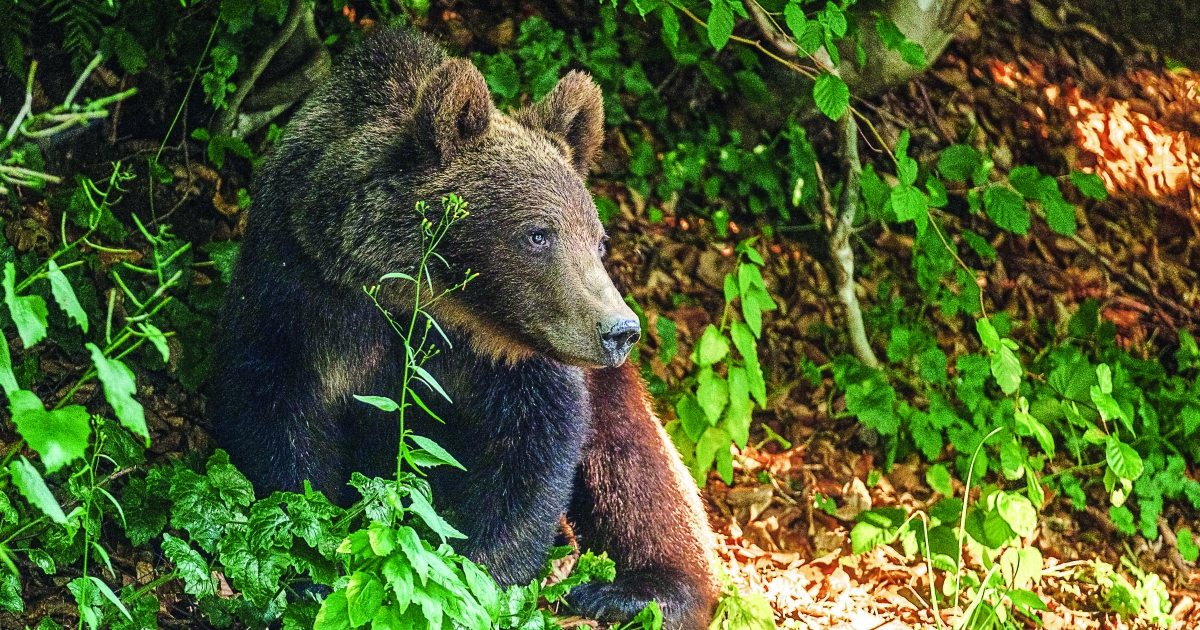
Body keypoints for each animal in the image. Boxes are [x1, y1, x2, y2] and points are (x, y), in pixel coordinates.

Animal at [210, 28, 715, 624]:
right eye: (538, 234)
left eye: (597, 239)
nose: (620, 330)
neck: (421, 303)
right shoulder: (299, 293)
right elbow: (279, 423)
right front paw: (310, 568)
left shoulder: (517, 362)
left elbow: (531, 459)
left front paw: (478, 578)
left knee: (639, 468)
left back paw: (634, 590)